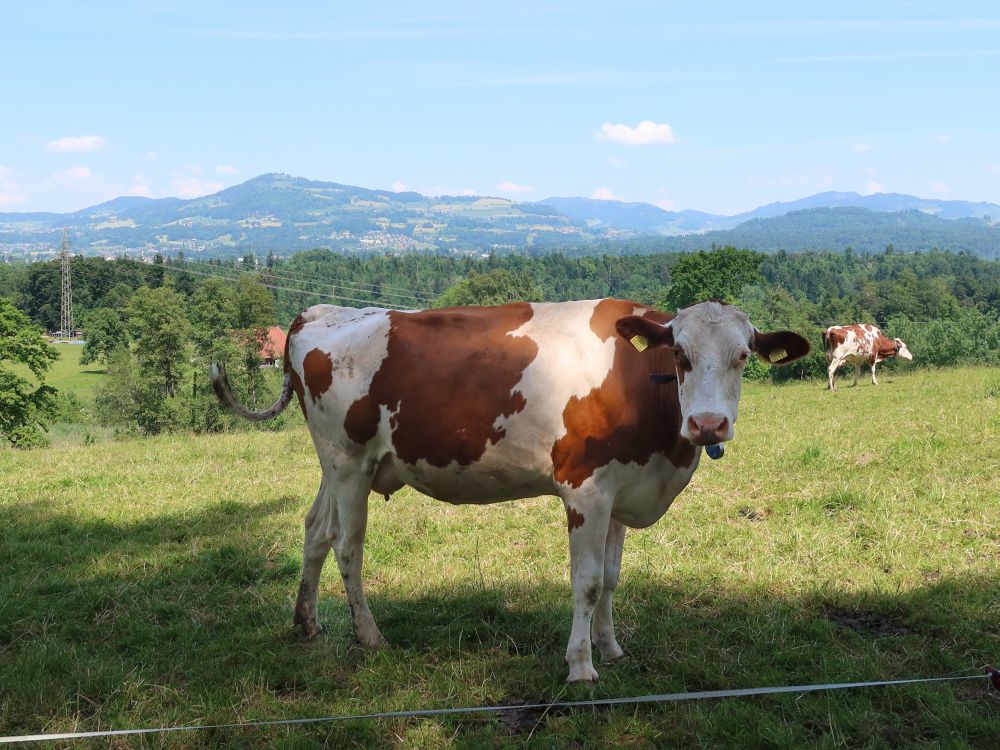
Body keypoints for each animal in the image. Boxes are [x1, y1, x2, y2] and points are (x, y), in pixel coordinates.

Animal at [213, 298, 812, 680]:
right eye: (681, 356)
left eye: (743, 356)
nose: (708, 425)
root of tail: (319, 313)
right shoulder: (585, 490)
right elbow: (586, 582)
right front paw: (581, 666)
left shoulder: (622, 490)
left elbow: (612, 578)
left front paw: (611, 647)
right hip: (349, 463)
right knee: (347, 546)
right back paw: (369, 636)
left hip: (334, 464)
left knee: (316, 530)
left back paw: (307, 622)